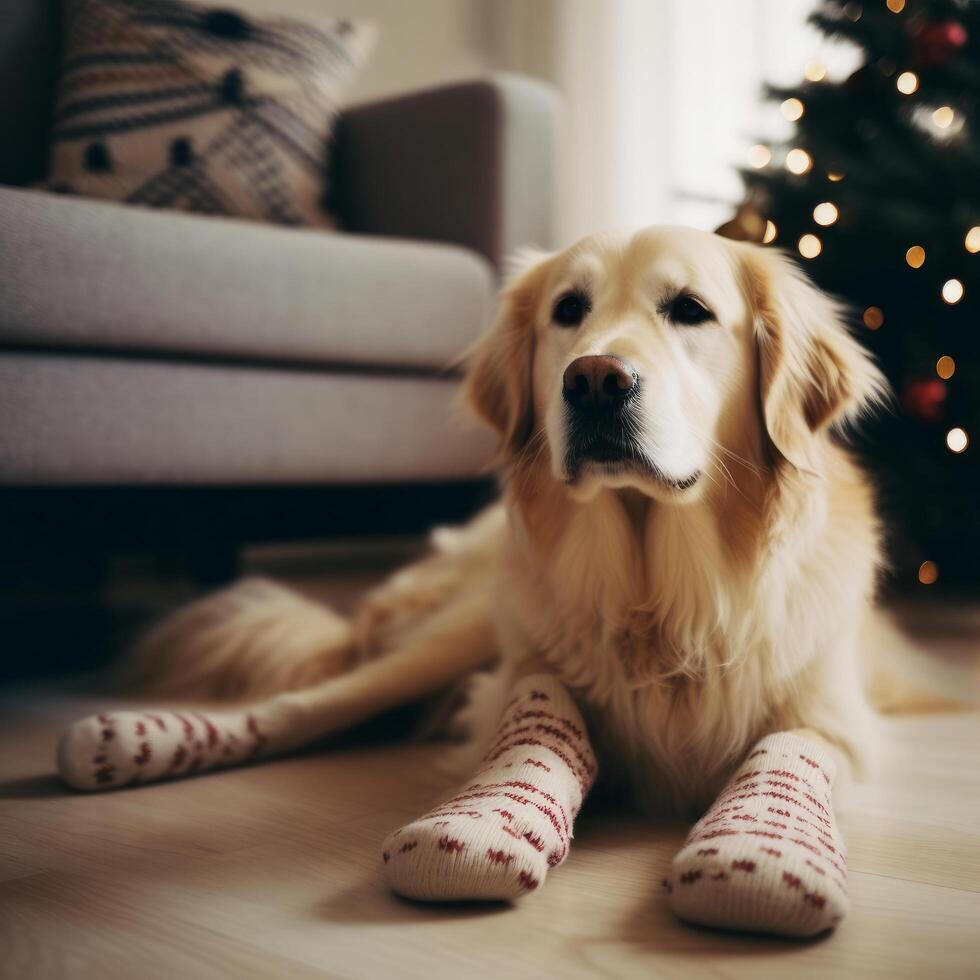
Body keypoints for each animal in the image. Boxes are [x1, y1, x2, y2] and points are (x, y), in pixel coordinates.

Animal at [59, 226, 920, 936]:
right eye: (569, 309)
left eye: (691, 310)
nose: (595, 380)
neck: (658, 604)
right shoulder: (526, 677)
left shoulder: (827, 718)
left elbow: (782, 743)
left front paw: (760, 865)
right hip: (458, 631)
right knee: (304, 707)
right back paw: (132, 742)